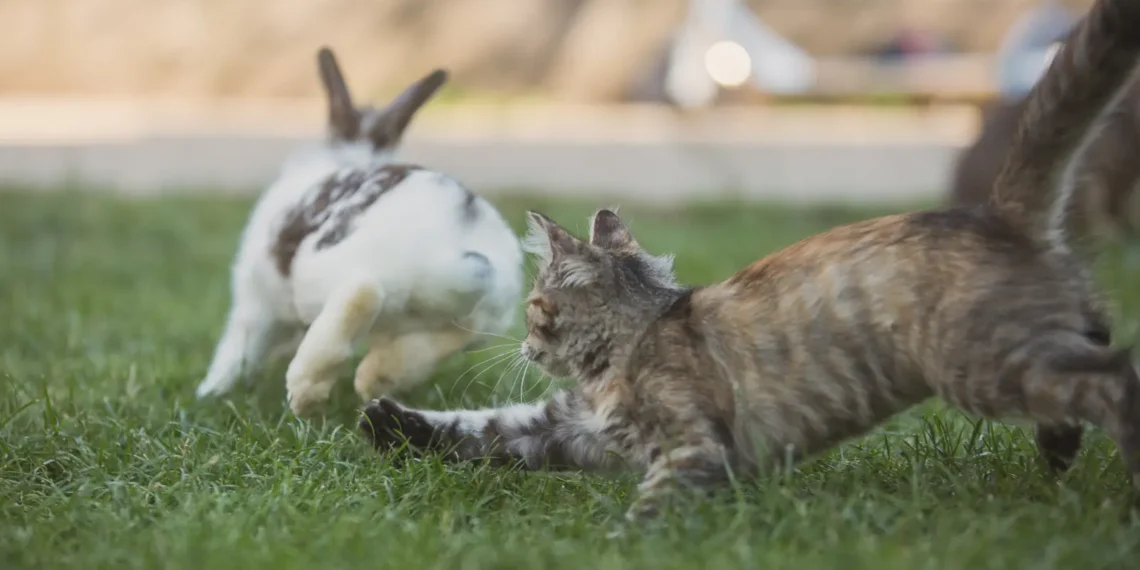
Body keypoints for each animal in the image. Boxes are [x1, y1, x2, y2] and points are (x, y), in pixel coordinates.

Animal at [195, 47, 523, 417]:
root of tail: (449, 251)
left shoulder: (254, 301)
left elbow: (236, 348)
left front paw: (211, 391)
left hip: (321, 276)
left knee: (361, 293)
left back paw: (307, 391)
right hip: (481, 317)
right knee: (444, 340)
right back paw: (373, 380)